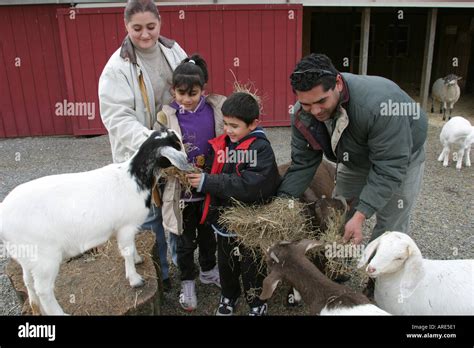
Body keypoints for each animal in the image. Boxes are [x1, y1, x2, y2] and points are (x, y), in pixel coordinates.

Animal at [0, 129, 193, 314]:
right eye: (177, 143)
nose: (188, 158)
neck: (134, 178)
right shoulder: (126, 226)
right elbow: (126, 251)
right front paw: (135, 279)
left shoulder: (126, 228)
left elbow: (131, 247)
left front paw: (138, 259)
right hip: (45, 257)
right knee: (43, 289)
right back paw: (58, 313)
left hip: (27, 254)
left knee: (28, 280)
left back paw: (36, 307)